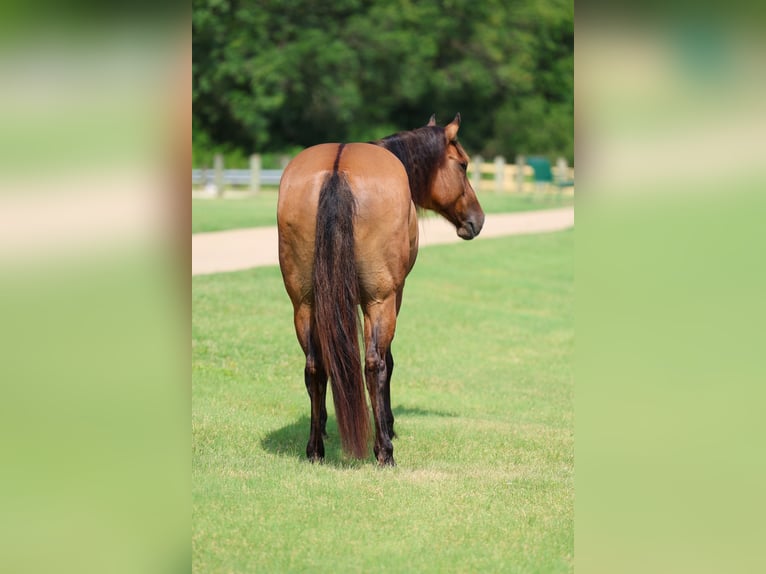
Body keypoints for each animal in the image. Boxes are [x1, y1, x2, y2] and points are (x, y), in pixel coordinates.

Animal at [277, 113, 485, 466]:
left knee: (315, 366)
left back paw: (315, 449)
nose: (477, 220)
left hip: (304, 304)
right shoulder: (392, 297)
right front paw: (388, 425)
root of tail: (337, 170)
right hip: (379, 302)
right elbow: (387, 359)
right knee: (374, 364)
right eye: (462, 164)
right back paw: (384, 450)